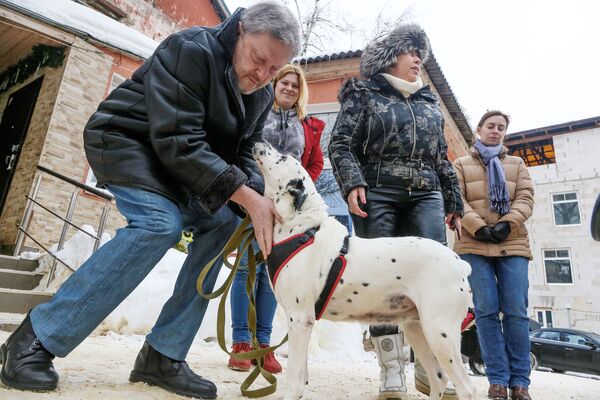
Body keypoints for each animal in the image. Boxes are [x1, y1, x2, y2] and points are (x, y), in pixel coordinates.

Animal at [251, 144, 476, 400]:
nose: (259, 142)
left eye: (282, 158)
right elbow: (301, 378)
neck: (303, 229)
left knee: (466, 387)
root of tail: (458, 262)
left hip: (440, 332)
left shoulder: (299, 319)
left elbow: (293, 382)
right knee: (439, 378)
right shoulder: (303, 323)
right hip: (417, 330)